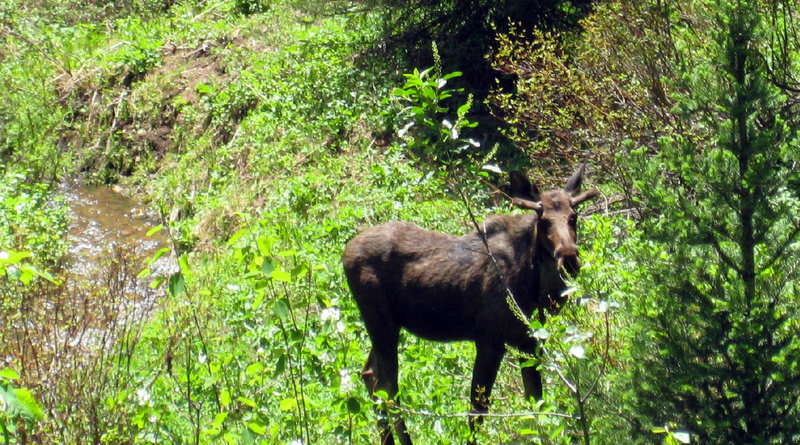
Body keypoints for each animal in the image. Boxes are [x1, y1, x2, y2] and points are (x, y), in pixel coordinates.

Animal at [340, 167, 596, 444]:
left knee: (370, 375)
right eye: (544, 220)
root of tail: (345, 254)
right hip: (380, 321)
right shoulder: (489, 340)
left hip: (385, 325)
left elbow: (537, 406)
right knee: (388, 386)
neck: (535, 289)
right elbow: (477, 412)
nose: (569, 258)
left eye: (573, 217)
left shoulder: (529, 343)